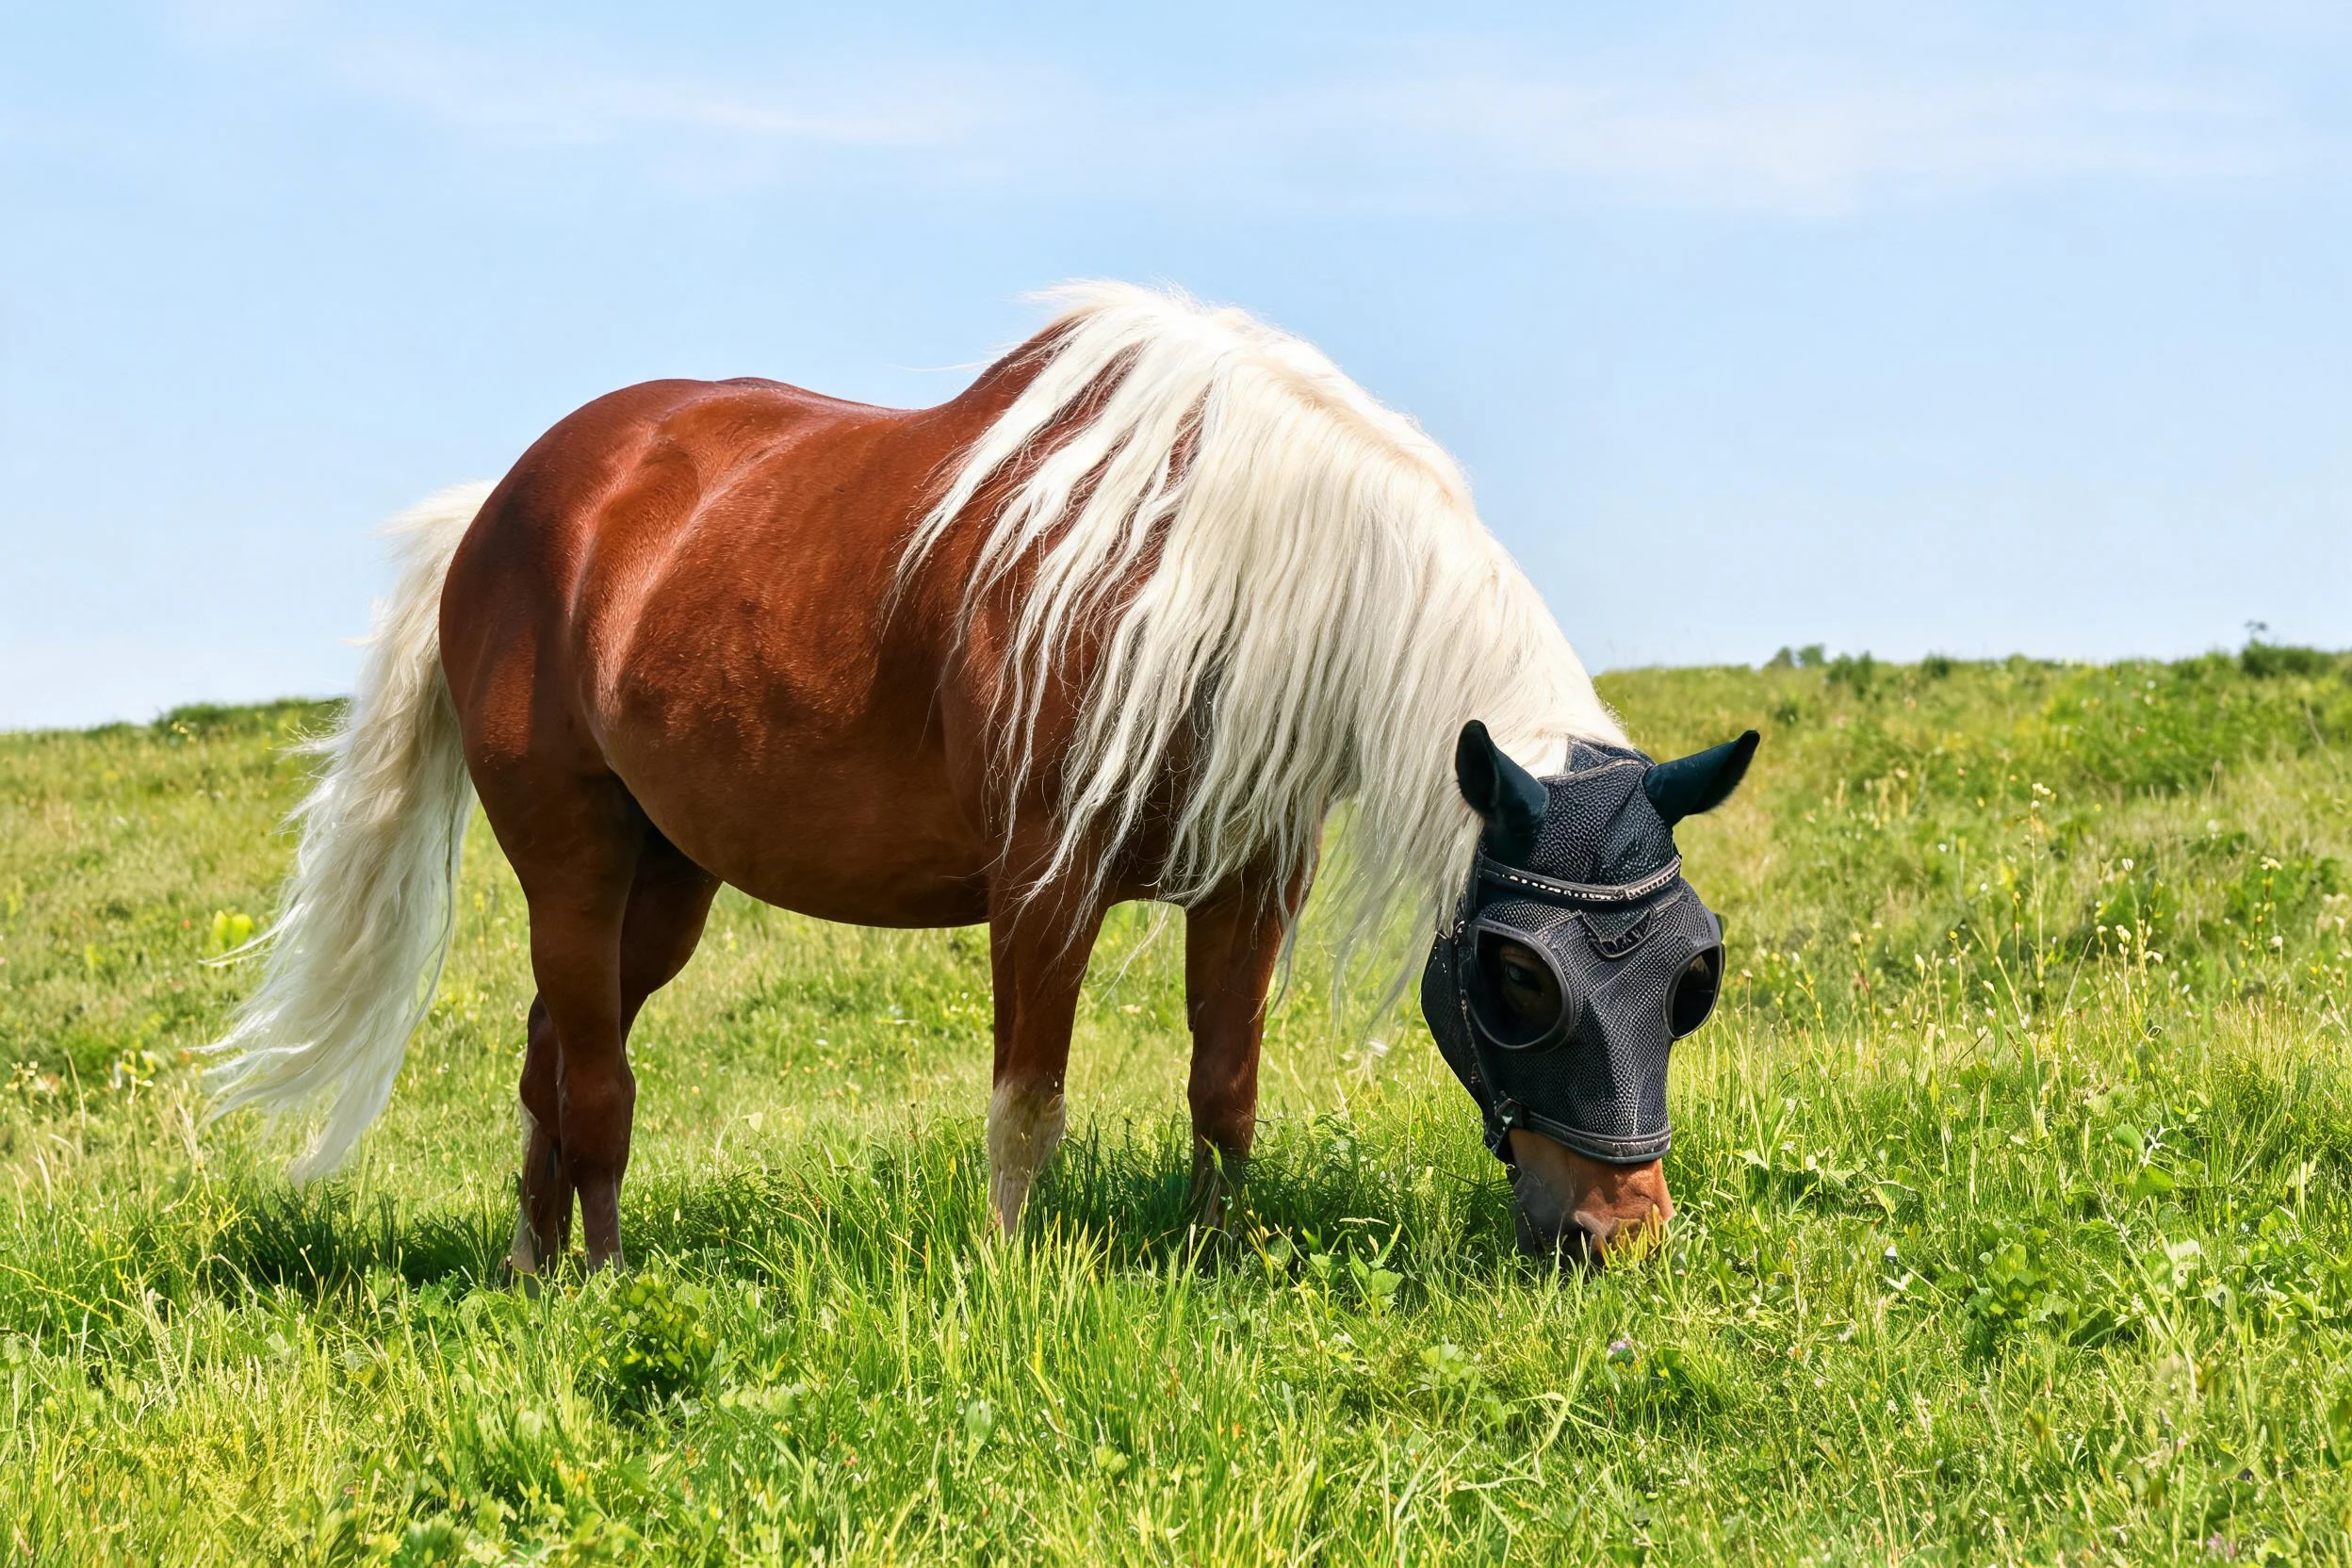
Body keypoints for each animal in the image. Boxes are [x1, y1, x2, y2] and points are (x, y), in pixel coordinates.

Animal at [207, 283, 1747, 1271]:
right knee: (594, 1081)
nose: (1623, 1234)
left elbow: (1225, 1087)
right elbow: (1030, 1103)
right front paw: (1007, 1278)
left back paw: (529, 1268)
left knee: (550, 1054)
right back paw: (599, 1278)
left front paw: (1220, 1260)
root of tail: (505, 505)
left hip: (666, 885)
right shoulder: (1043, 885)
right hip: (574, 862)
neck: (1213, 566)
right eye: (1520, 975)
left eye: (1692, 973)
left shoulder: (1254, 882)